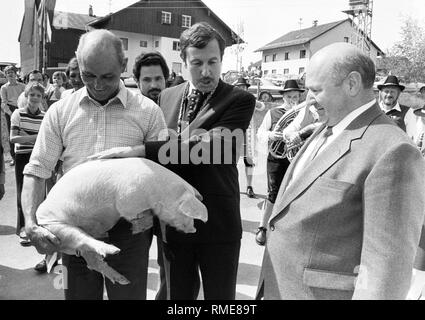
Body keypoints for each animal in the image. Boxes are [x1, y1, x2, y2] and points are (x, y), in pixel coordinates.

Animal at [34, 158, 207, 284]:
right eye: (187, 213)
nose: (193, 230)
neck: (159, 193)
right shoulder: (127, 199)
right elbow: (129, 213)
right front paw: (140, 223)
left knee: (91, 259)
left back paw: (123, 280)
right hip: (56, 226)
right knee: (84, 240)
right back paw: (114, 250)